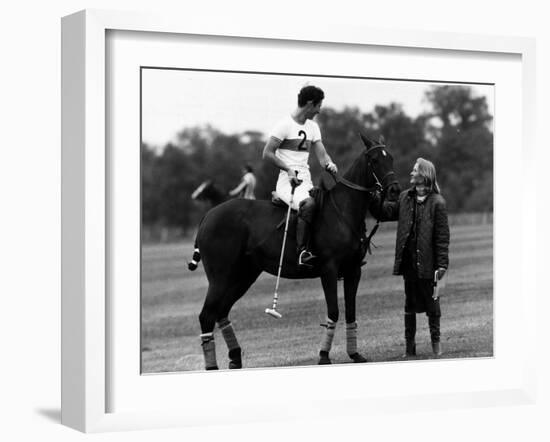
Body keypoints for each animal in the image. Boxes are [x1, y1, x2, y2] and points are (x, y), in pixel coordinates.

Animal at [189, 134, 402, 370]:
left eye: (391, 158)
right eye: (374, 160)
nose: (395, 190)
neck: (343, 211)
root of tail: (208, 216)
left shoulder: (354, 270)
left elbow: (351, 312)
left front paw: (355, 354)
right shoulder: (329, 269)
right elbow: (334, 311)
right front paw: (324, 356)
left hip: (243, 275)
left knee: (221, 311)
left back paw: (235, 358)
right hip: (220, 276)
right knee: (206, 315)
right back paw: (213, 366)